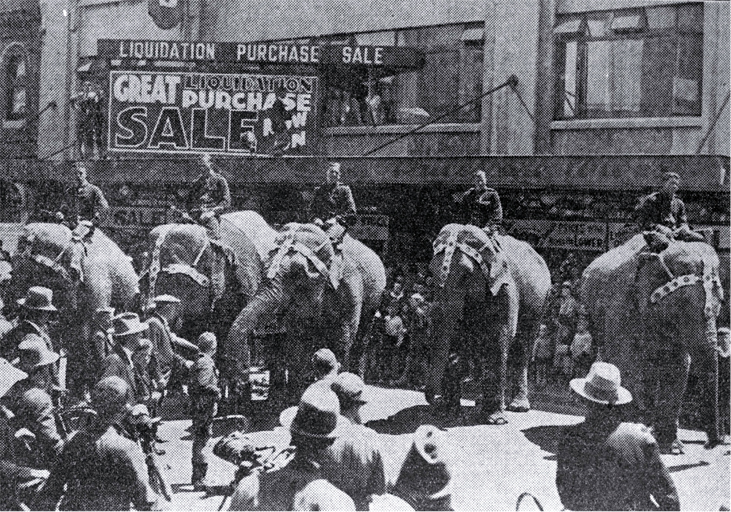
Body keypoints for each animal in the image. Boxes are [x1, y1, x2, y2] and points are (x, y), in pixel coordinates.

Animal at [229, 222, 388, 402]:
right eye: (263, 268)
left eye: (298, 274)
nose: (240, 383)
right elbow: (297, 339)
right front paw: (296, 398)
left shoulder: (350, 290)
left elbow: (342, 339)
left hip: (374, 299)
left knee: (362, 338)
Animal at [428, 226, 548, 422]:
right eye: (431, 272)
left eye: (465, 276)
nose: (436, 400)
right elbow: (458, 336)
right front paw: (449, 413)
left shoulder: (504, 288)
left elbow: (499, 339)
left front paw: (495, 420)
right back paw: (479, 401)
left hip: (540, 303)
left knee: (522, 346)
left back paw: (517, 407)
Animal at [576, 234, 728, 450]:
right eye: (682, 305)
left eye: (721, 303)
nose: (710, 443)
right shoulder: (620, 305)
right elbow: (626, 360)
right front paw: (629, 428)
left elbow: (678, 366)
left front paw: (673, 447)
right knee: (609, 356)